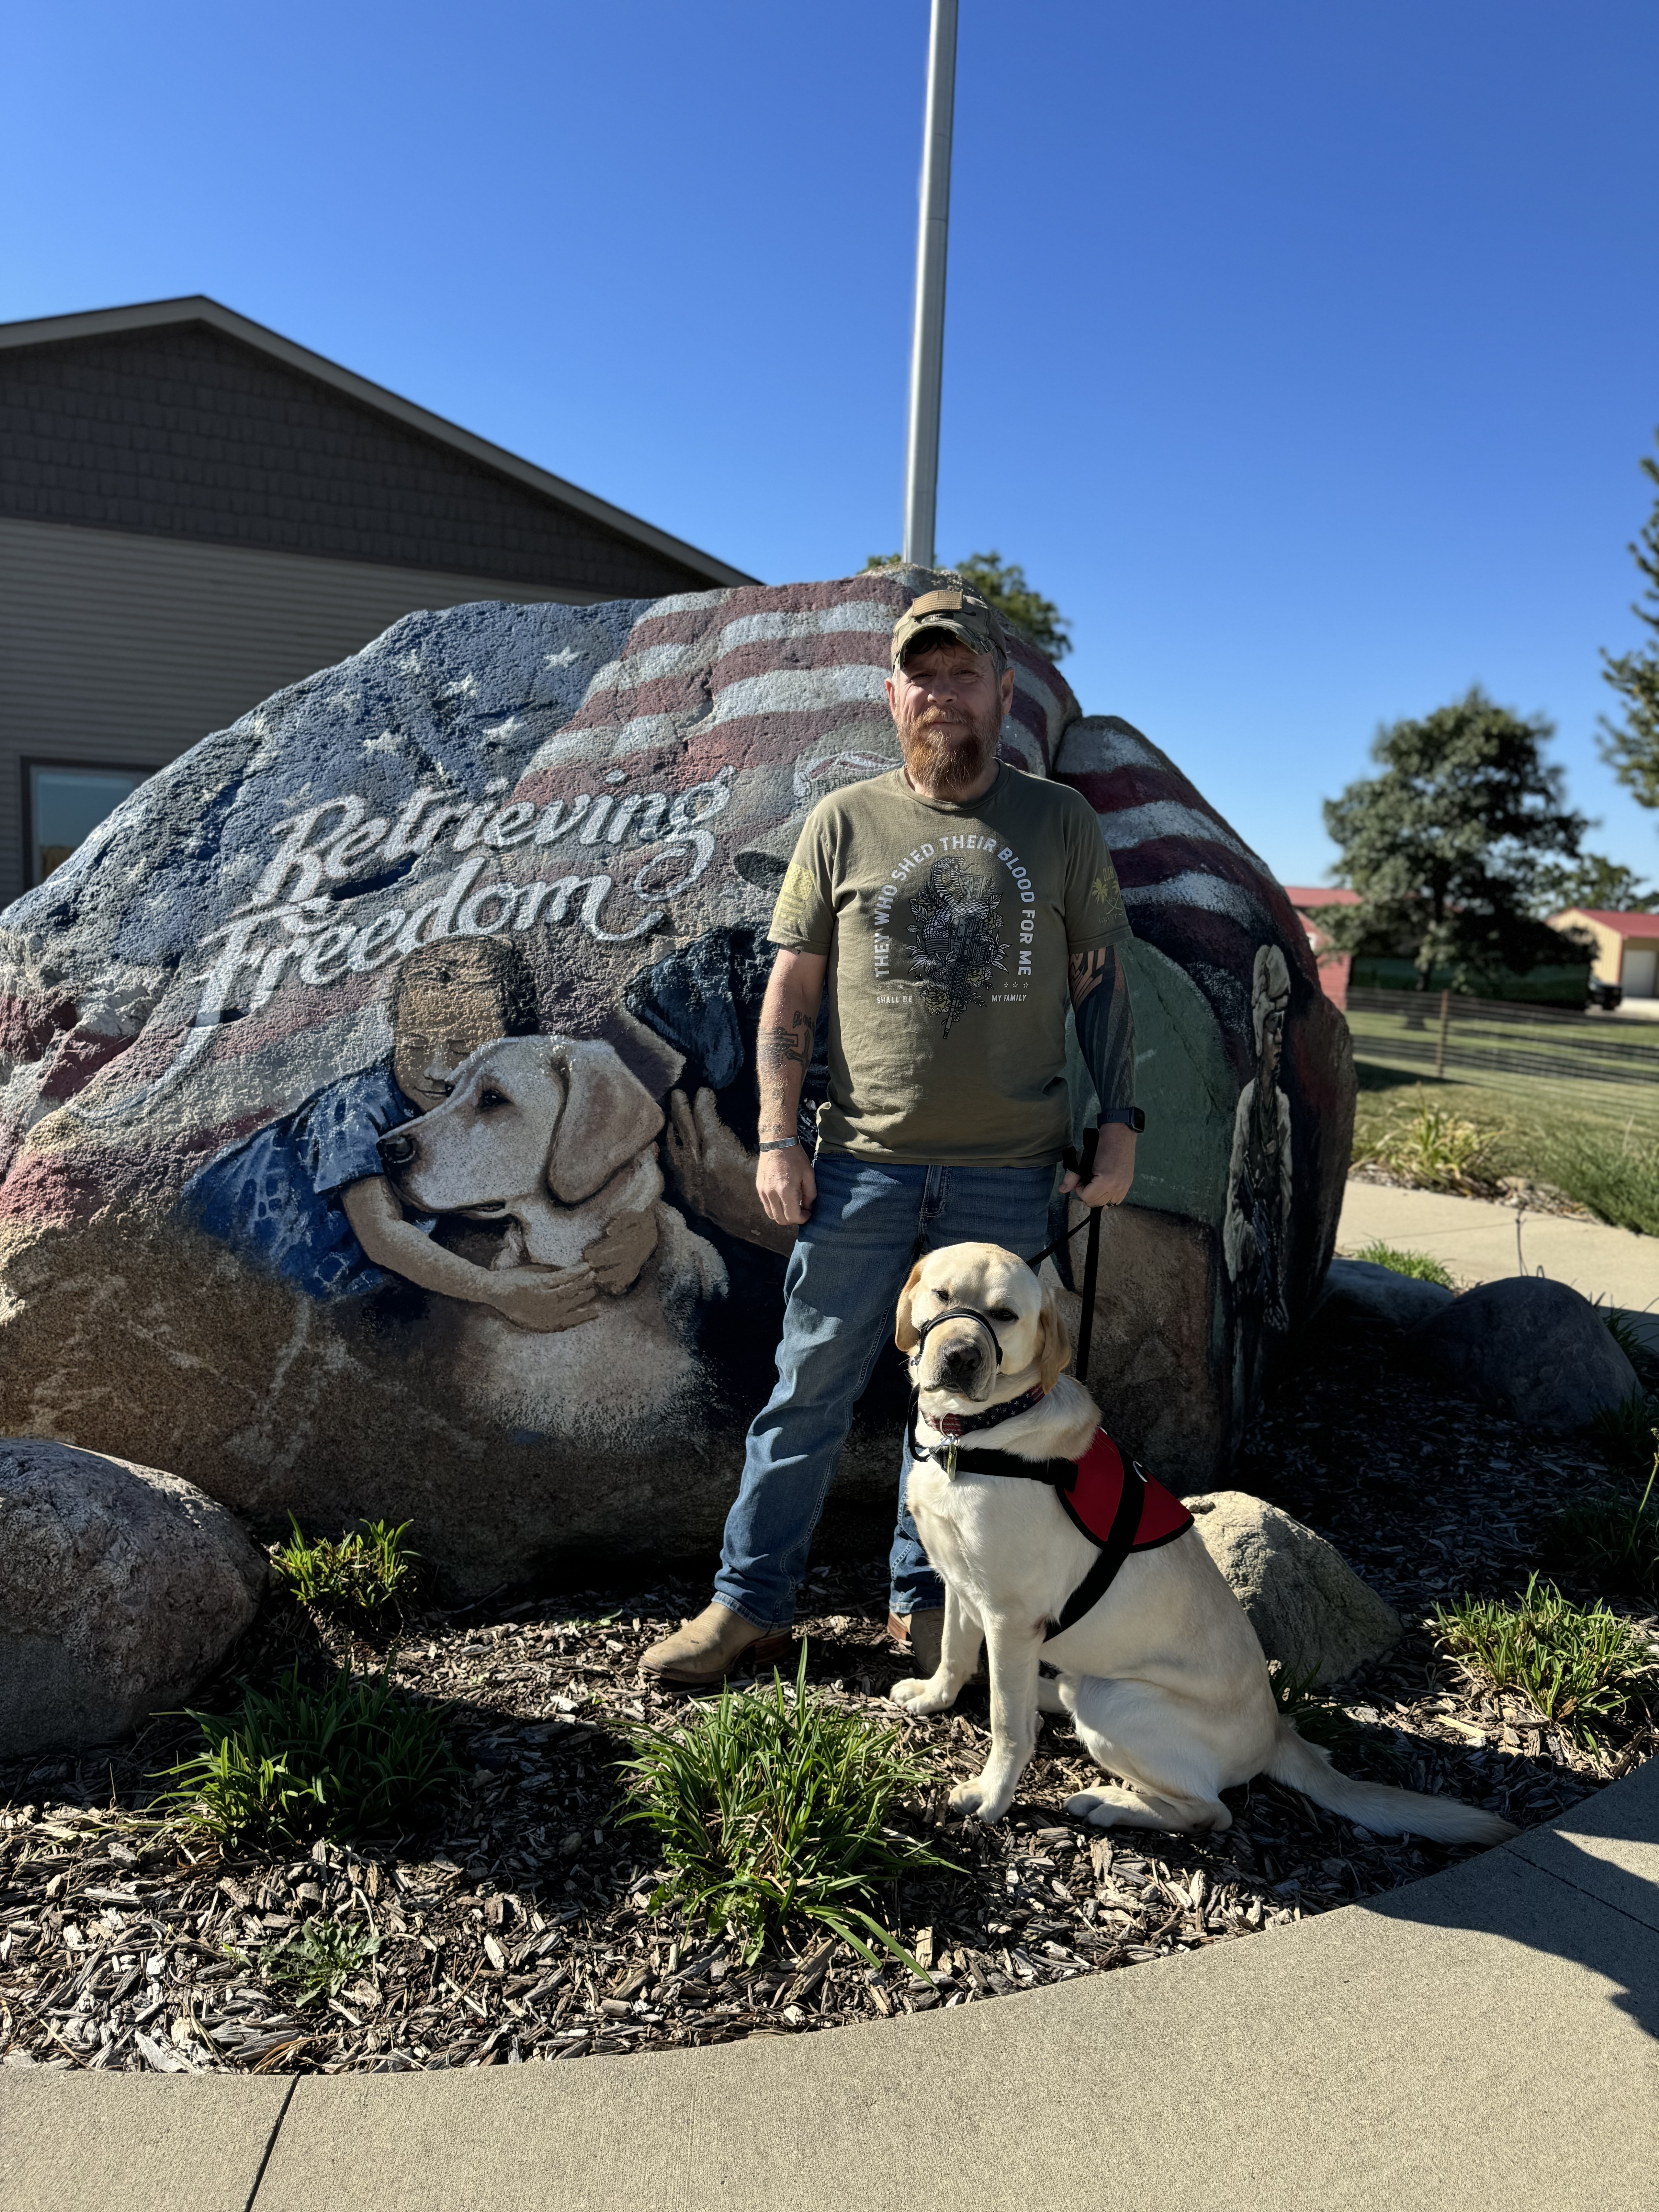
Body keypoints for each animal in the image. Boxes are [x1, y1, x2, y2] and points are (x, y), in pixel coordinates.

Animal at [898, 1247, 1522, 1849]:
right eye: (943, 1295)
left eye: (1005, 1315)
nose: (960, 1356)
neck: (973, 1436)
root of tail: (1277, 1733)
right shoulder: (961, 1586)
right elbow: (954, 1653)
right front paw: (934, 1697)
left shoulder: (1010, 1617)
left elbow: (1008, 1724)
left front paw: (992, 1796)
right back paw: (1052, 1695)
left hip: (1118, 1705)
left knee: (1210, 1812)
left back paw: (1110, 1801)